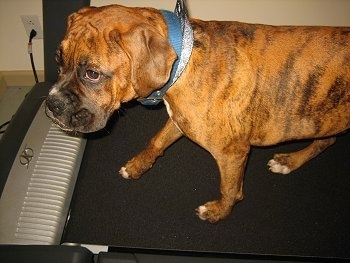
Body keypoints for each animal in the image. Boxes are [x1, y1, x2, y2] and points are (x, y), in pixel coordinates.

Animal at [45, 3, 350, 224]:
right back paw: (290, 161)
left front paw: (218, 212)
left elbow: (230, 190)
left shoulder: (232, 154)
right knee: (327, 140)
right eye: (59, 59)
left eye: (92, 74)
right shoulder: (180, 120)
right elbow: (156, 142)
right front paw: (137, 166)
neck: (184, 56)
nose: (52, 105)